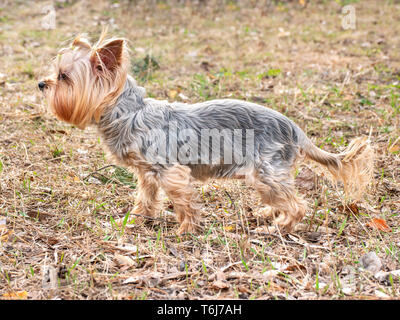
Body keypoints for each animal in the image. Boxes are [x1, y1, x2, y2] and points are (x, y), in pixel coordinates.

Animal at [38, 33, 376, 235]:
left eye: (63, 77)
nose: (41, 84)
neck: (129, 112)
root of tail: (294, 127)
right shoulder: (148, 173)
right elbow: (145, 198)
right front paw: (136, 220)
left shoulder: (171, 171)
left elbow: (183, 201)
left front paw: (185, 230)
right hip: (267, 176)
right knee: (282, 197)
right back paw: (267, 213)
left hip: (265, 171)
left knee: (298, 205)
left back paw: (277, 228)